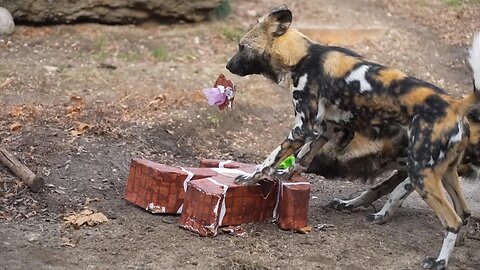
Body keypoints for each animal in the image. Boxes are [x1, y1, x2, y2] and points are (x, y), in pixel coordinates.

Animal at [225, 5, 480, 268]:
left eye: (241, 47)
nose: (228, 66)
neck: (301, 57)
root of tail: (456, 106)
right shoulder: (325, 130)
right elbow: (301, 160)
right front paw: (285, 175)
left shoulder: (302, 128)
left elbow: (269, 160)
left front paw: (249, 178)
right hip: (445, 172)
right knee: (464, 212)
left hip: (421, 174)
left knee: (452, 220)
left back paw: (439, 261)